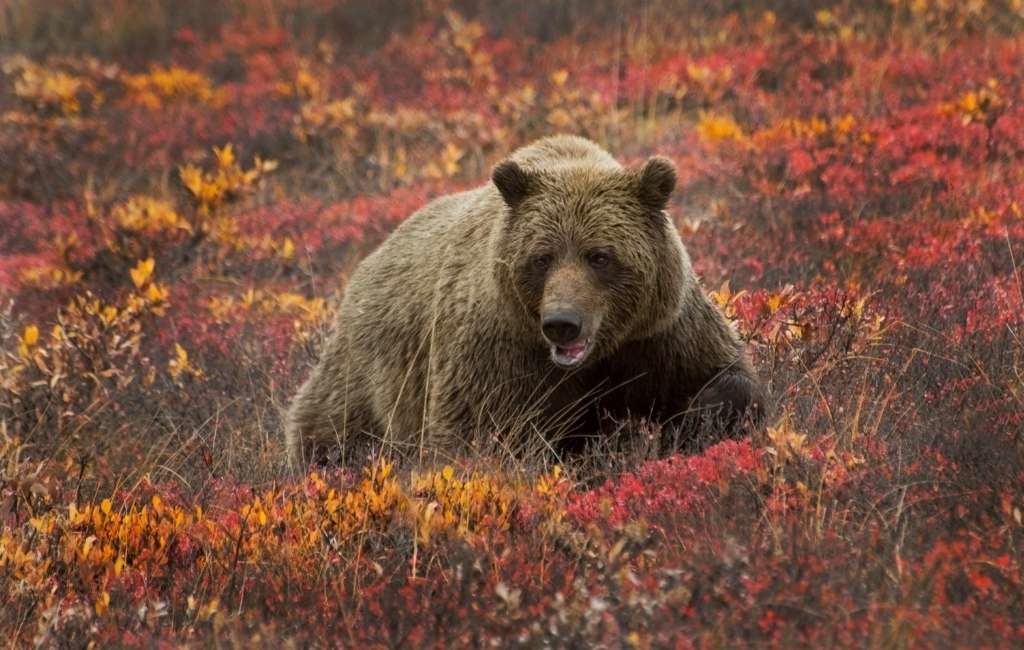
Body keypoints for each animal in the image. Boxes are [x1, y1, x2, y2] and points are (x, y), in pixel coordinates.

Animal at [284, 135, 765, 464]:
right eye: (543, 257)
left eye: (600, 256)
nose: (562, 323)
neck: (596, 356)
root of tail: (368, 261)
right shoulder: (500, 350)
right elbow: (481, 434)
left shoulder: (661, 333)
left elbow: (726, 378)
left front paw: (701, 418)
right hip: (368, 374)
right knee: (332, 428)